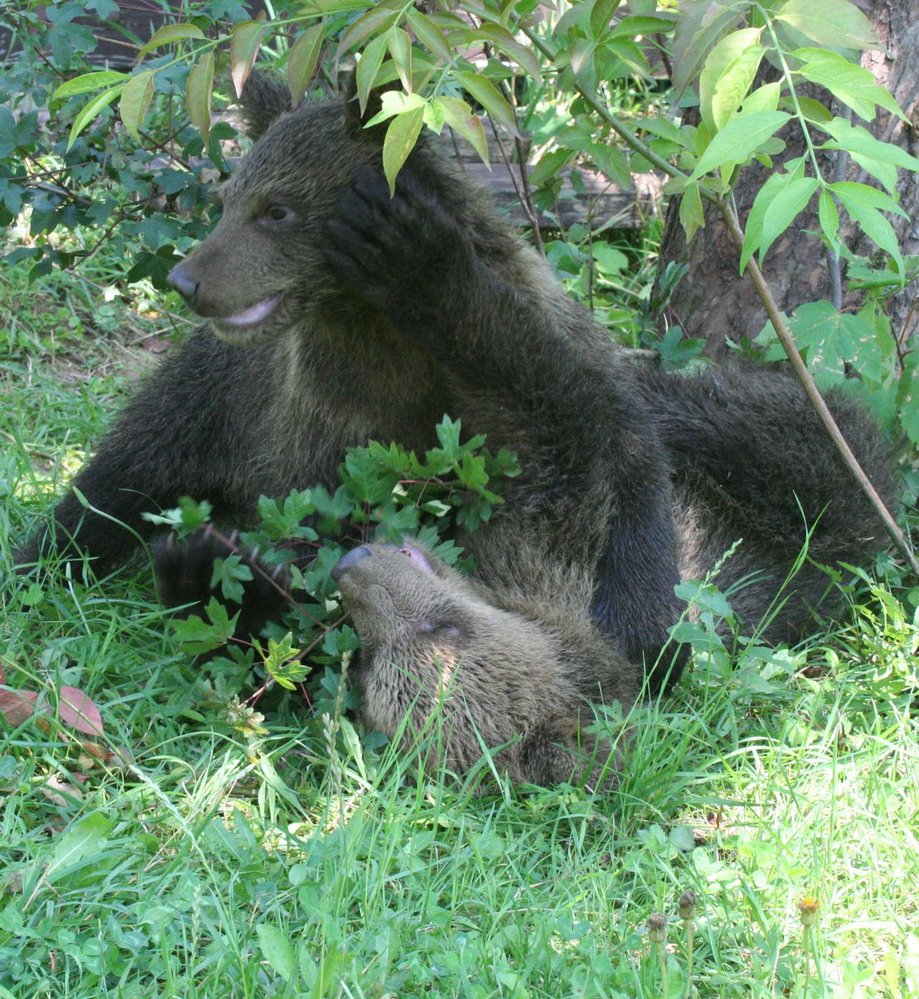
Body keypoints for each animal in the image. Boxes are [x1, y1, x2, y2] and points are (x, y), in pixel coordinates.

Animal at [12, 74, 892, 740]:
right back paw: (45, 557)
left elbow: (594, 421)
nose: (189, 279)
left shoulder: (550, 432)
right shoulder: (297, 418)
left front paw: (418, 260)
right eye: (234, 195)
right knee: (126, 469)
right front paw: (211, 574)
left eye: (277, 208)